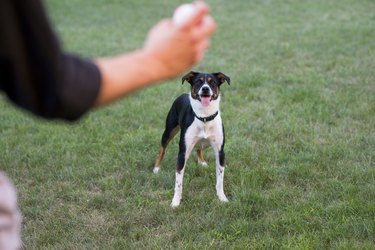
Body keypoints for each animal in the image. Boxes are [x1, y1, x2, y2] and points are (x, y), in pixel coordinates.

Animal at [153, 70, 231, 207]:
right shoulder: (182, 153)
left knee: (199, 147)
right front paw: (175, 202)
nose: (205, 89)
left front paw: (222, 198)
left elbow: (220, 180)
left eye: (213, 82)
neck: (204, 117)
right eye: (198, 82)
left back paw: (202, 162)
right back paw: (157, 168)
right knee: (162, 149)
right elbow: (178, 182)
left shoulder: (220, 152)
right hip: (169, 131)